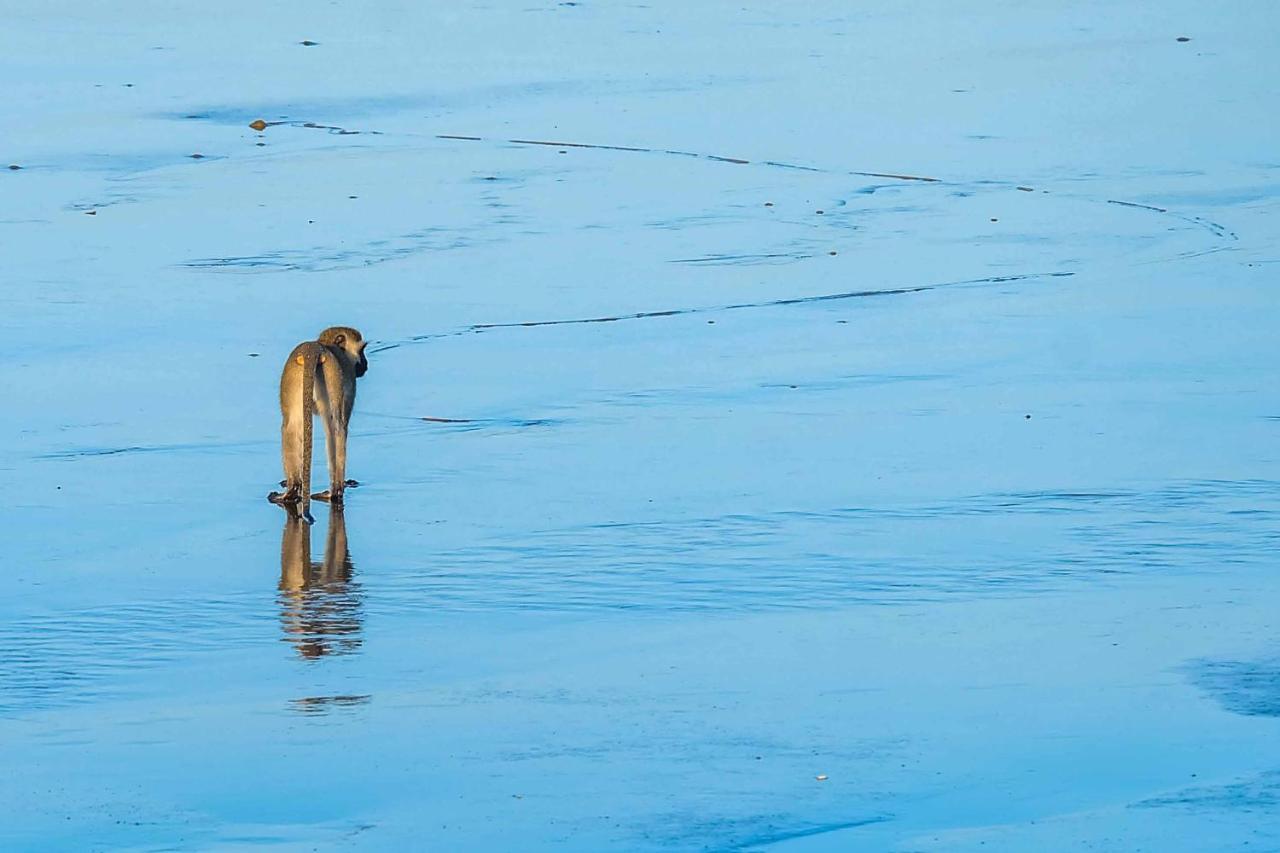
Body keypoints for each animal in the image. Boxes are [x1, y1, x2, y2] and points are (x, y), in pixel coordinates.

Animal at [267, 325, 368, 522]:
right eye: (362, 351)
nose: (365, 366)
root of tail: (313, 349)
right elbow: (340, 427)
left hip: (293, 376)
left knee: (290, 425)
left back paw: (292, 490)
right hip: (331, 378)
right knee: (336, 427)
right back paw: (335, 491)